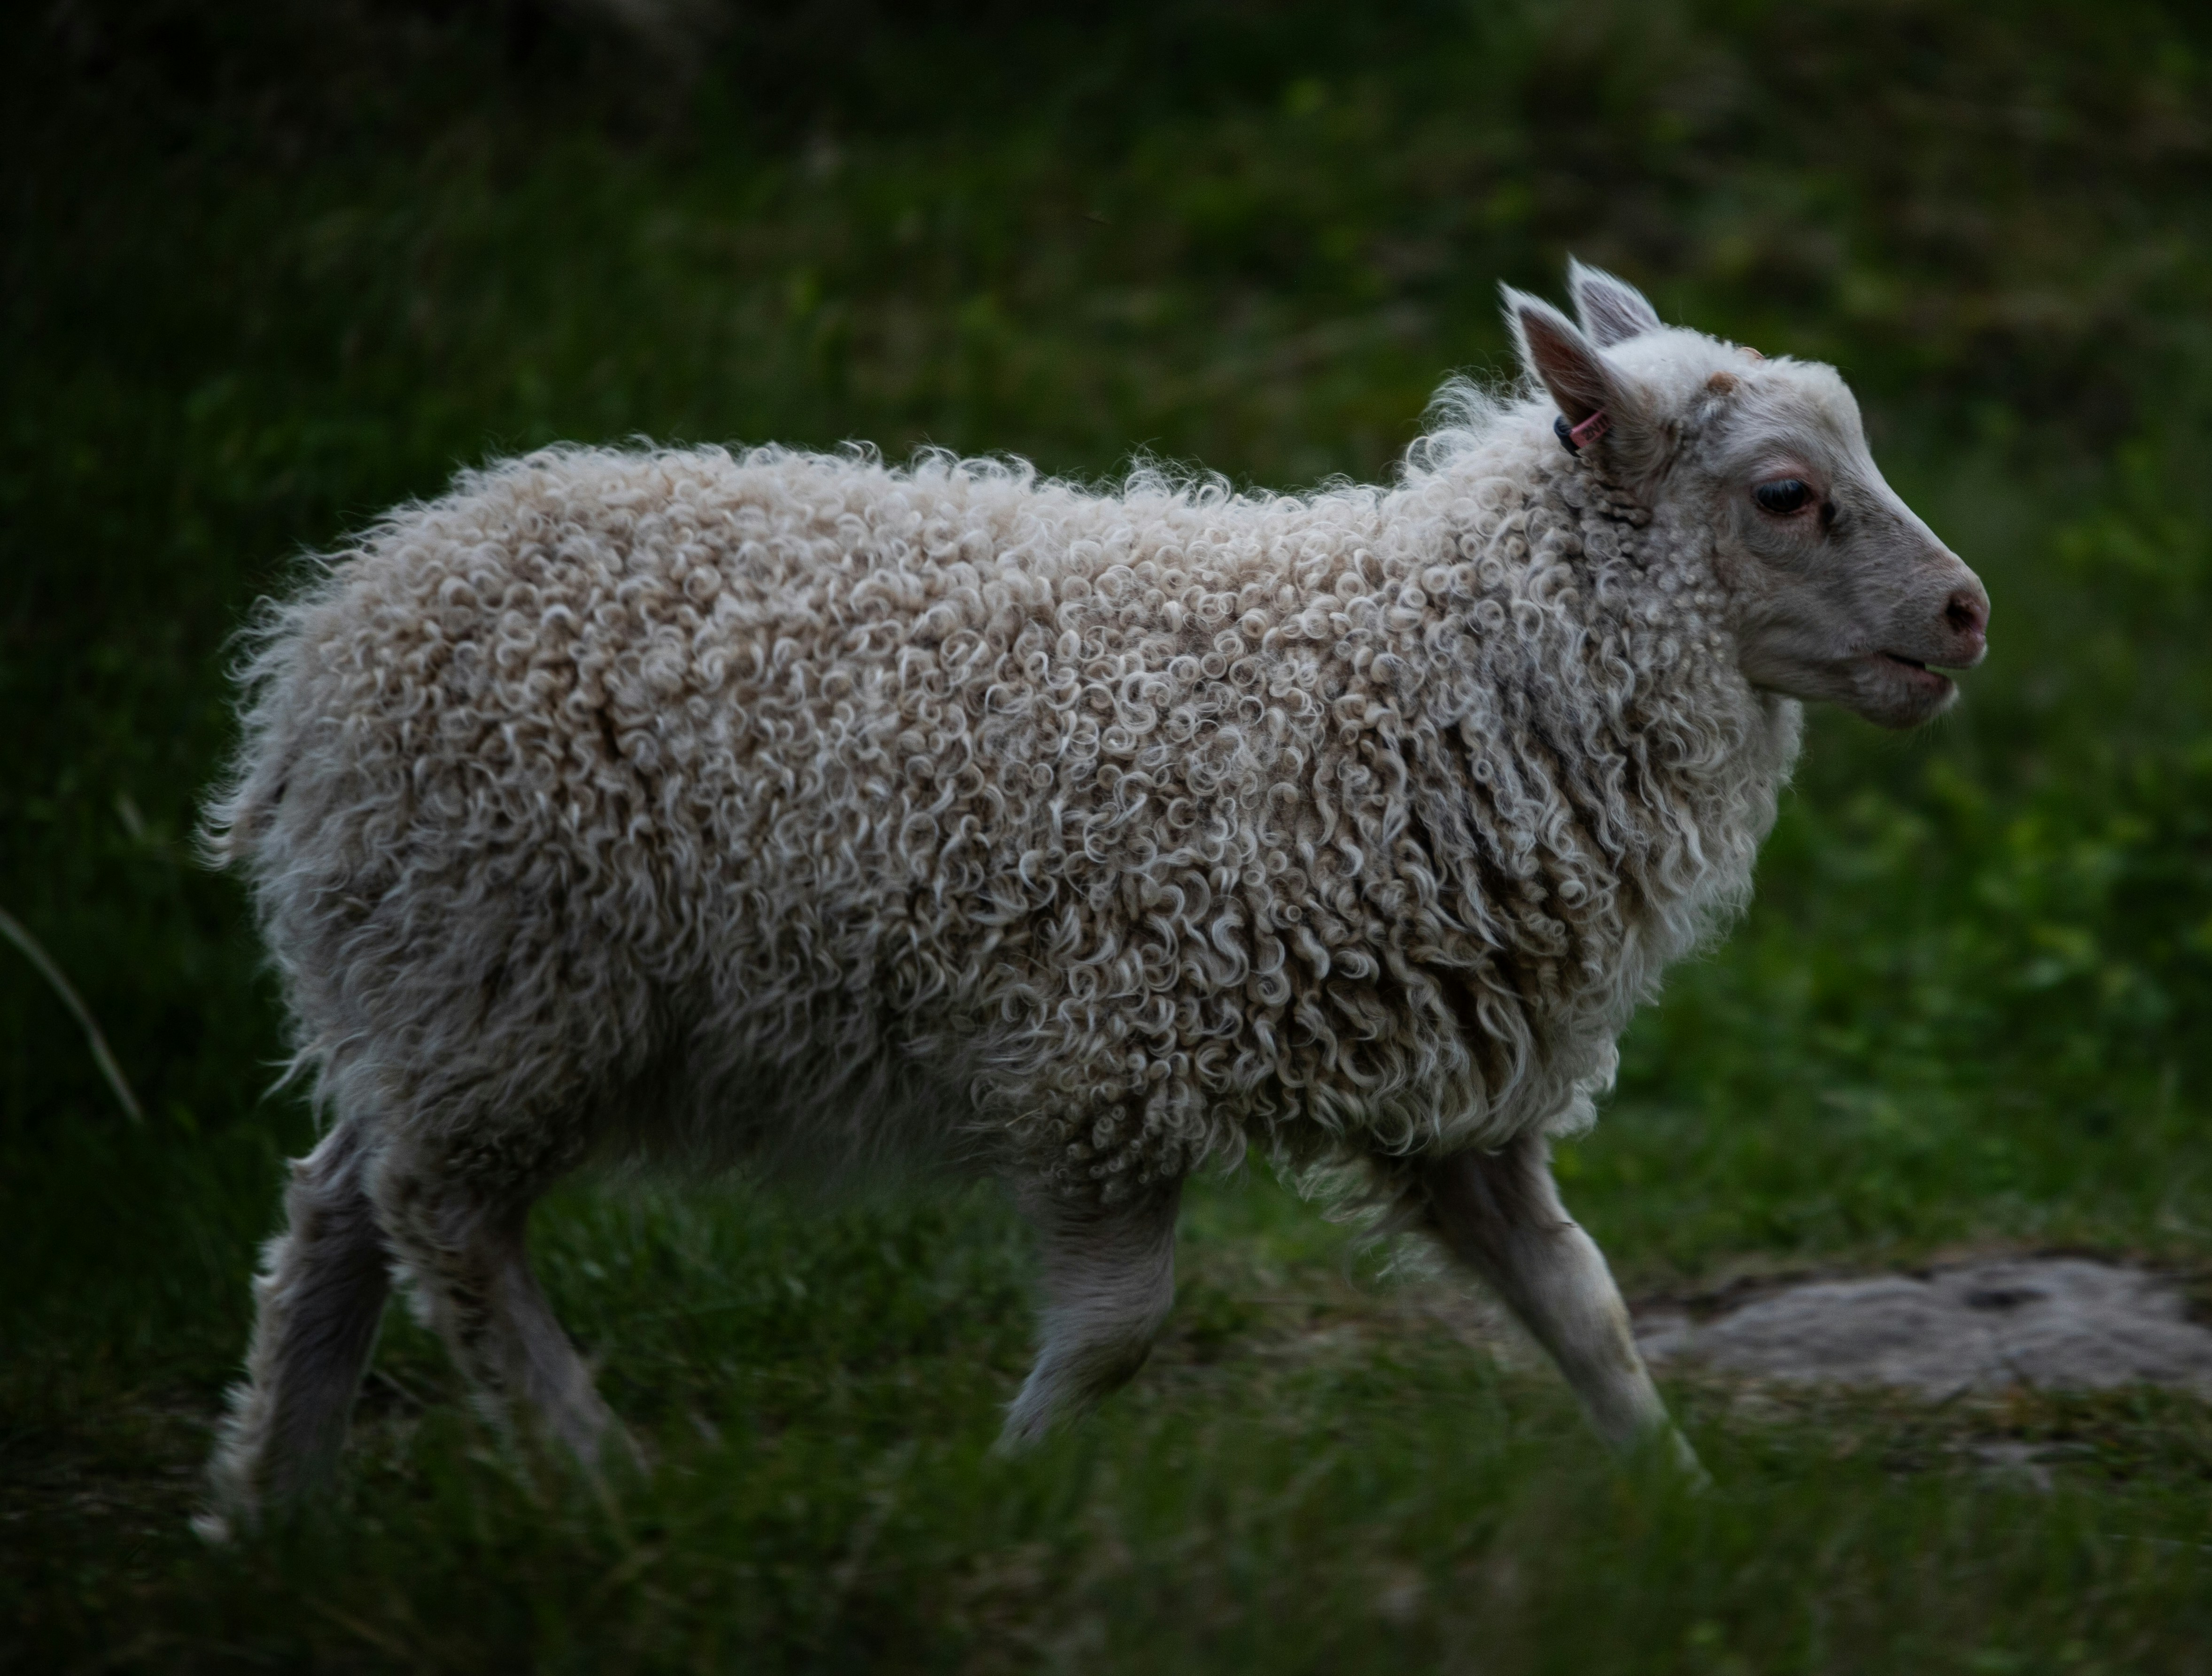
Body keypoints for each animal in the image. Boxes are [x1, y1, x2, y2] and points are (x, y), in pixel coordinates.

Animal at [194, 265, 1991, 1539]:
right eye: (1782, 494)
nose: (1967, 612)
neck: (1432, 665)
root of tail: (323, 642)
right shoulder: (1108, 1054)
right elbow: (1124, 1326)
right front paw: (999, 1483)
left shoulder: (1442, 1081)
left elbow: (1584, 1302)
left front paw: (1681, 1504)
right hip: (511, 973)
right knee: (438, 1214)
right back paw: (594, 1471)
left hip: (443, 983)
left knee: (339, 1200)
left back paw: (269, 1509)